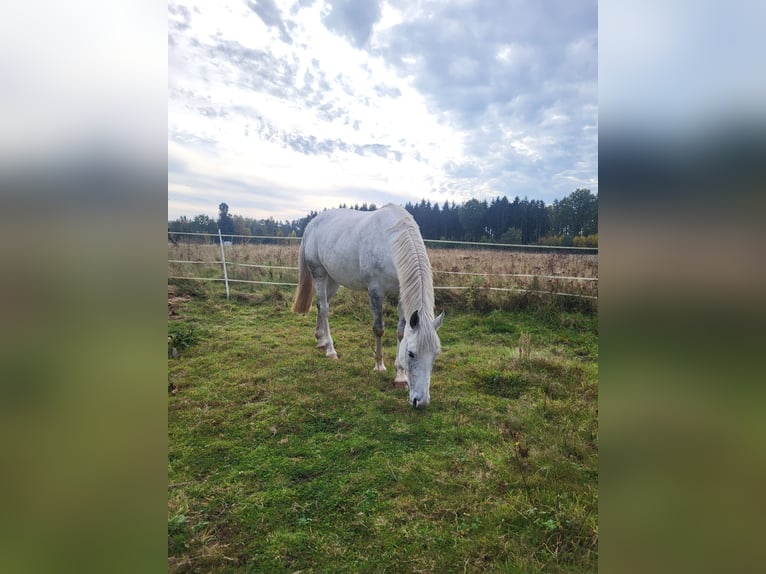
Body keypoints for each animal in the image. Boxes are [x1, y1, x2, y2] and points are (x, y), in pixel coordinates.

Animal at [292, 204, 444, 410]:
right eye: (411, 354)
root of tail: (311, 224)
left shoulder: (402, 295)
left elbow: (401, 332)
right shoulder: (375, 291)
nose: (421, 402)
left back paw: (320, 340)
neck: (390, 242)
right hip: (319, 274)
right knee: (324, 308)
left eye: (435, 354)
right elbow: (378, 329)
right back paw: (330, 350)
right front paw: (379, 366)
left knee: (320, 306)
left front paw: (400, 377)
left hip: (333, 279)